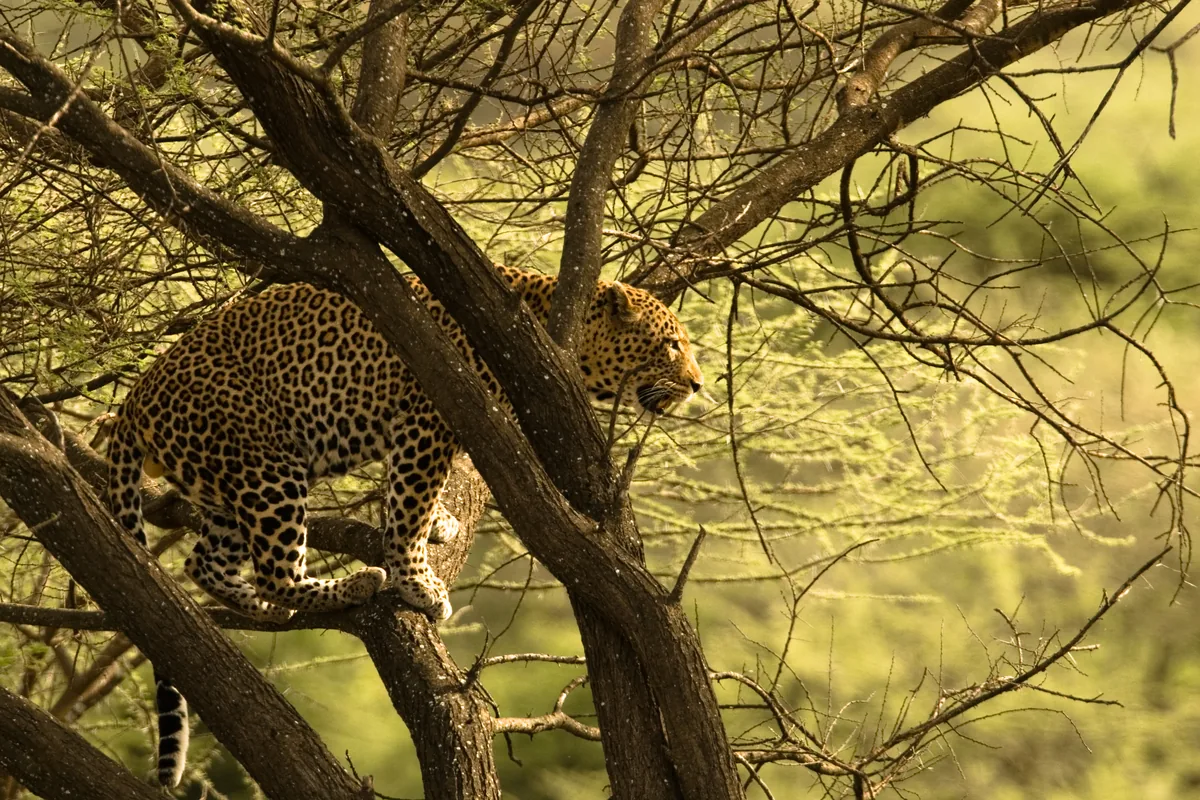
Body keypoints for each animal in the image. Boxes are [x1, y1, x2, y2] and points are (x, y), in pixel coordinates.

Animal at [106, 264, 703, 786]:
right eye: (672, 345)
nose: (698, 385)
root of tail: (135, 398)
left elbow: (410, 495)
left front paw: (438, 523)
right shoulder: (427, 420)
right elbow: (410, 502)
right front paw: (417, 582)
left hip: (226, 485)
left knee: (203, 562)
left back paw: (269, 608)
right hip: (265, 468)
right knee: (274, 567)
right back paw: (352, 584)